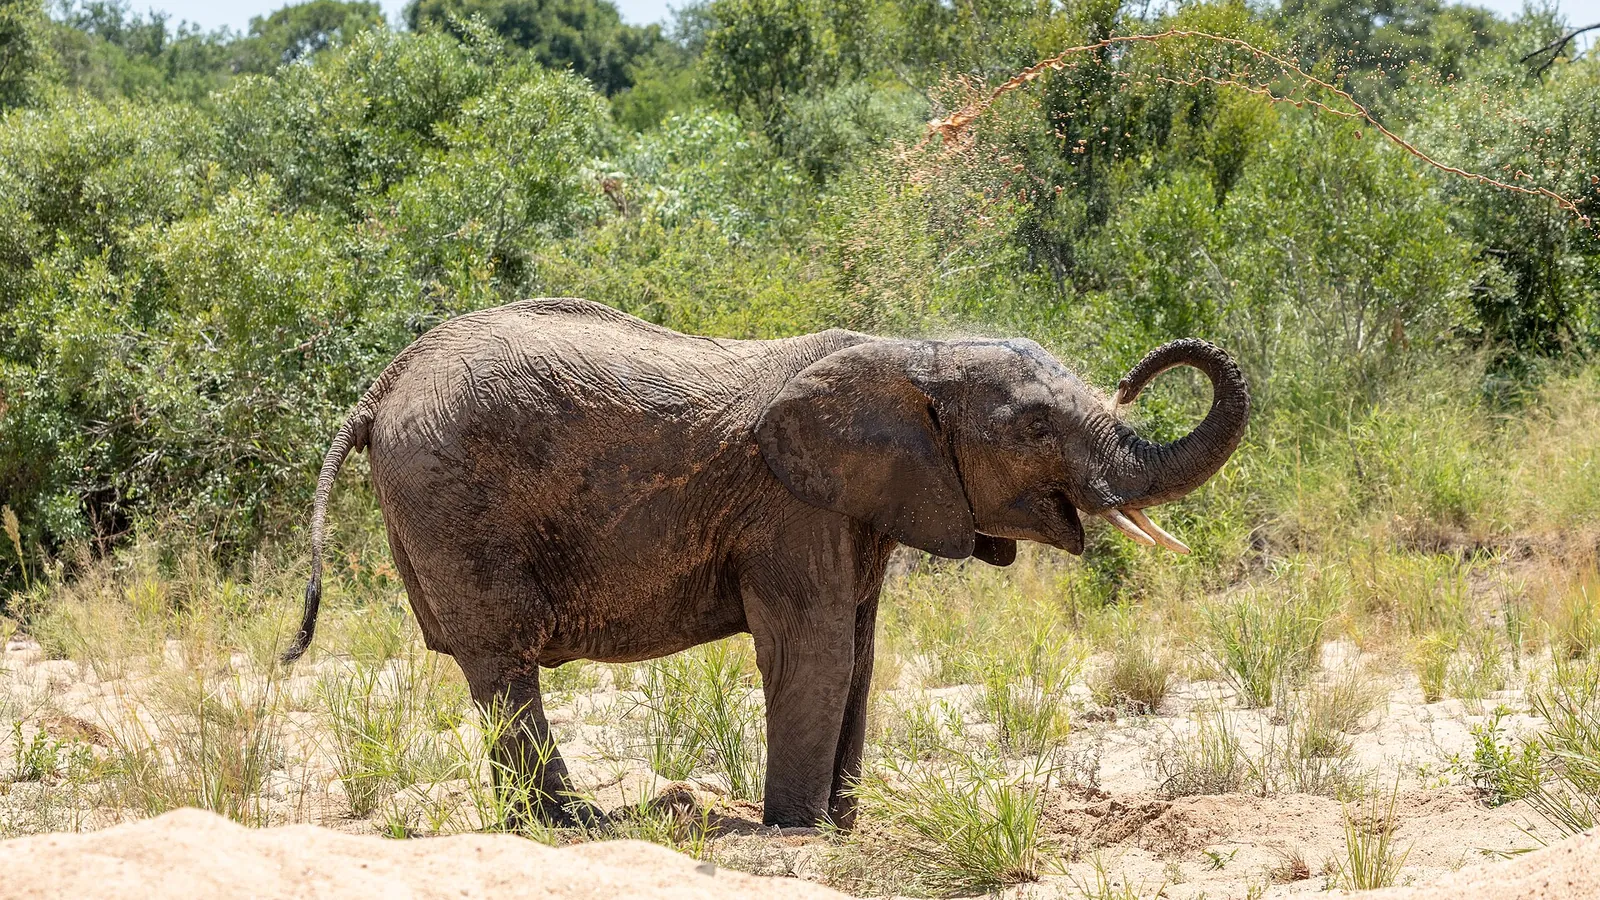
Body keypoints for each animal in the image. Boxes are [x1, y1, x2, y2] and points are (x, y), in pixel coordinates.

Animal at [281, 297, 1249, 829]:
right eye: (1036, 427)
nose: (1139, 372)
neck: (911, 354)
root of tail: (382, 385)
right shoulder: (790, 508)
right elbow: (812, 652)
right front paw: (799, 831)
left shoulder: (863, 507)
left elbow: (860, 656)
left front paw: (846, 820)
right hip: (454, 497)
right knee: (503, 662)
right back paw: (573, 823)